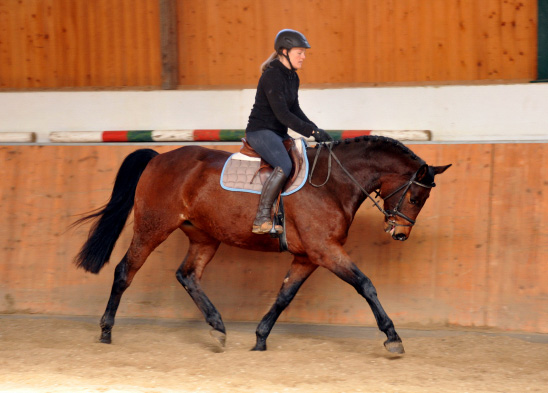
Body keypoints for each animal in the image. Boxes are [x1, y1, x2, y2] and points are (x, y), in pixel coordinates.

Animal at [73, 136, 450, 354]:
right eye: (415, 197)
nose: (400, 234)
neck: (333, 183)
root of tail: (158, 158)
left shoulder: (308, 256)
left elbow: (284, 295)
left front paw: (260, 337)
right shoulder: (326, 251)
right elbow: (366, 285)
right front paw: (392, 337)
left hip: (205, 236)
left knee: (187, 275)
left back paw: (218, 327)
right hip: (153, 227)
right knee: (125, 271)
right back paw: (106, 331)